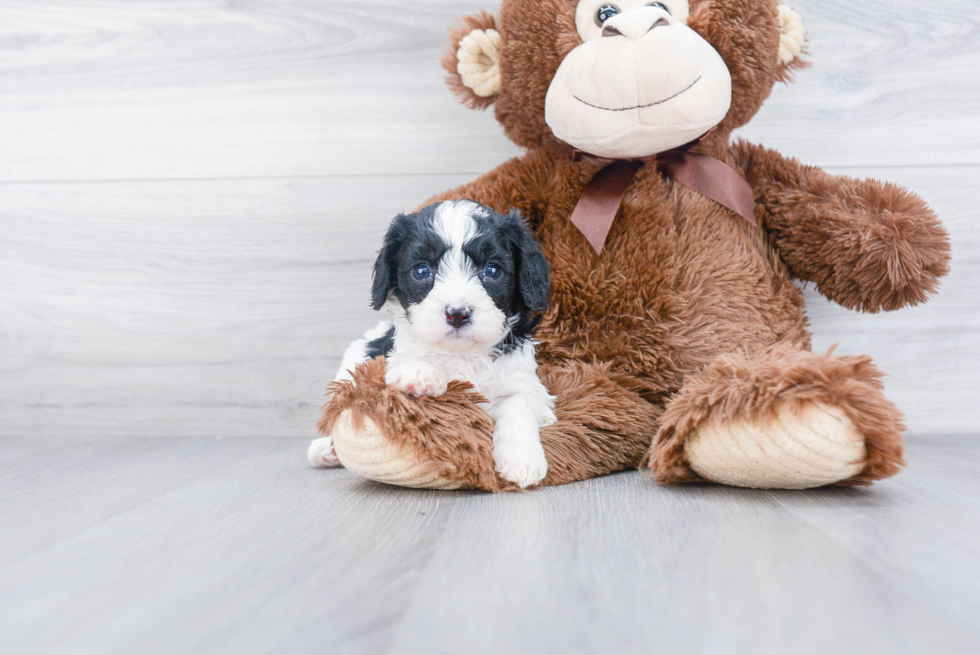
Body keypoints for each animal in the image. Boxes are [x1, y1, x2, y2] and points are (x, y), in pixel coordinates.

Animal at [310, 202, 556, 490]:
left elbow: (519, 402)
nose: (457, 313)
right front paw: (420, 374)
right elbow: (405, 359)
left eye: (492, 270)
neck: (461, 355)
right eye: (422, 270)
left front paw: (522, 460)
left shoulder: (524, 381)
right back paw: (325, 450)